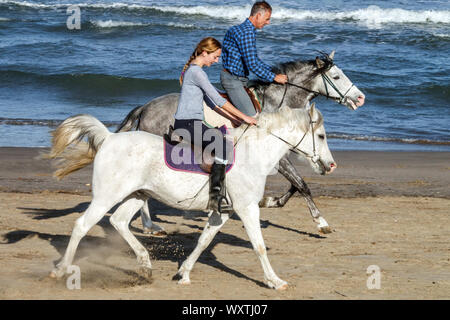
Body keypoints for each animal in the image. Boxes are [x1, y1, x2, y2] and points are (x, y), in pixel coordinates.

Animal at [48, 105, 334, 290]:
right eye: (320, 136)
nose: (330, 166)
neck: (252, 154)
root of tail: (109, 138)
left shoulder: (223, 212)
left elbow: (203, 241)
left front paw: (183, 273)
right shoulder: (247, 208)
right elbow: (259, 246)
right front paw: (275, 281)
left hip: (136, 196)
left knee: (118, 221)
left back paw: (145, 265)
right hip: (106, 196)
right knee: (82, 226)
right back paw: (61, 270)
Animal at [115, 52, 362, 232]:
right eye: (337, 77)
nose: (360, 98)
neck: (277, 104)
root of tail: (145, 107)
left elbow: (295, 184)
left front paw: (269, 201)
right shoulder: (278, 157)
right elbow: (301, 184)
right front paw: (321, 222)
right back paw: (150, 225)